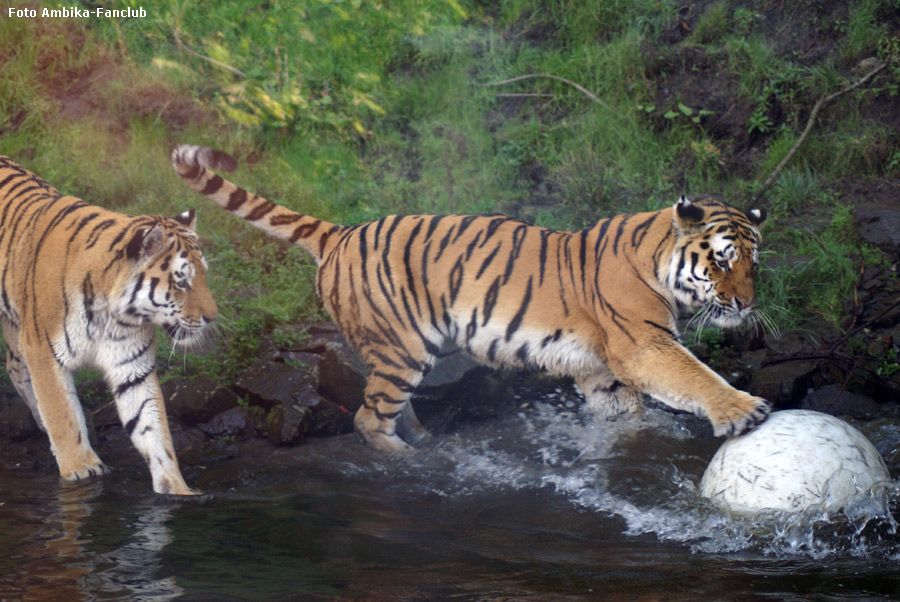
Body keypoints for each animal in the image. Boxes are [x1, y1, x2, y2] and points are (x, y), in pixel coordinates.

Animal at [172, 145, 768, 450]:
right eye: (721, 260)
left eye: (753, 263)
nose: (744, 305)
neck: (658, 261)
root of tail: (340, 232)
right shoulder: (643, 346)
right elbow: (695, 376)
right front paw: (744, 410)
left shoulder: (603, 370)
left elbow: (628, 416)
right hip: (402, 347)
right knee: (367, 419)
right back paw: (409, 464)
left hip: (403, 353)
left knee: (386, 406)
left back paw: (422, 439)